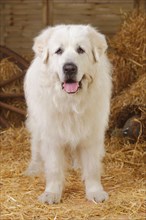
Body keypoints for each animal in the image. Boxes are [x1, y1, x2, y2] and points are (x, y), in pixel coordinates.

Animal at [24, 24, 112, 205]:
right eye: (59, 51)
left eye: (80, 50)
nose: (69, 68)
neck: (71, 103)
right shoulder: (51, 136)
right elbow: (54, 168)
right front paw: (51, 193)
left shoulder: (91, 134)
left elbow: (92, 167)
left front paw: (95, 192)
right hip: (36, 126)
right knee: (36, 147)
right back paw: (33, 168)